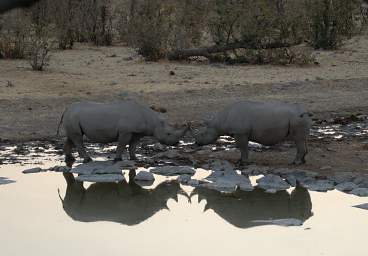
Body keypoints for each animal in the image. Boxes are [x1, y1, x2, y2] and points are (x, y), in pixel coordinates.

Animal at [57, 101, 190, 163]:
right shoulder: (125, 131)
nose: (176, 144)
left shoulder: (137, 132)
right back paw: (88, 159)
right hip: (73, 117)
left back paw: (70, 159)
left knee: (72, 137)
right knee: (77, 138)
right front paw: (118, 159)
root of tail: (66, 109)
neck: (153, 121)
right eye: (168, 134)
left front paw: (135, 158)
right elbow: (122, 145)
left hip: (72, 117)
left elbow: (133, 145)